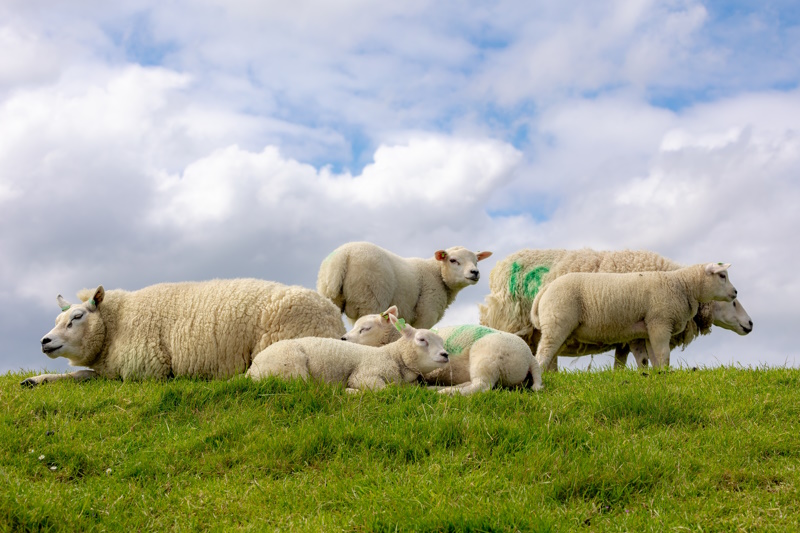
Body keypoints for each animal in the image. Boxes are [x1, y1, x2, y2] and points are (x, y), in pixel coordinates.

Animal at [21, 278, 346, 386]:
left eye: (76, 317)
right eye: (57, 318)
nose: (45, 341)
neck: (116, 324)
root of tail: (334, 316)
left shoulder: (144, 372)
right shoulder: (113, 371)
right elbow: (80, 375)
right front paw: (35, 380)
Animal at [247, 310, 450, 392]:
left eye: (442, 342)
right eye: (422, 339)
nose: (445, 355)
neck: (393, 355)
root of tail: (251, 369)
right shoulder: (365, 374)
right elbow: (386, 390)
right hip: (291, 367)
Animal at [316, 241, 490, 328]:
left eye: (476, 261)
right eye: (453, 260)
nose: (475, 272)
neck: (438, 274)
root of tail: (343, 256)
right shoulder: (426, 314)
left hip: (331, 297)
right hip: (369, 298)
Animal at [340, 304, 540, 394]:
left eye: (366, 328)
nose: (343, 338)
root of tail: (530, 357)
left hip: (486, 357)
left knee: (482, 386)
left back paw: (447, 393)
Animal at [532, 262, 736, 370]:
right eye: (722, 276)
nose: (735, 292)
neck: (682, 285)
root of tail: (545, 289)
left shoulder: (650, 328)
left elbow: (654, 355)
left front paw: (660, 375)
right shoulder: (660, 321)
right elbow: (664, 353)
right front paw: (666, 372)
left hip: (562, 329)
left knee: (550, 355)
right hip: (557, 321)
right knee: (543, 353)